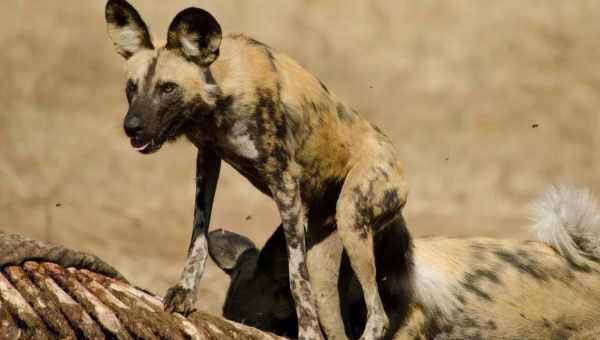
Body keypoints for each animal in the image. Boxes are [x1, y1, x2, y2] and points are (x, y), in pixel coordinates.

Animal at [105, 1, 410, 338]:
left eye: (168, 88)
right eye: (132, 88)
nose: (131, 127)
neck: (222, 90)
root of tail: (396, 160)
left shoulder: (286, 185)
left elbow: (295, 278)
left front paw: (307, 331)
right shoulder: (207, 161)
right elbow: (198, 237)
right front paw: (184, 292)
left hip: (352, 221)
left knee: (378, 317)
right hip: (325, 261)